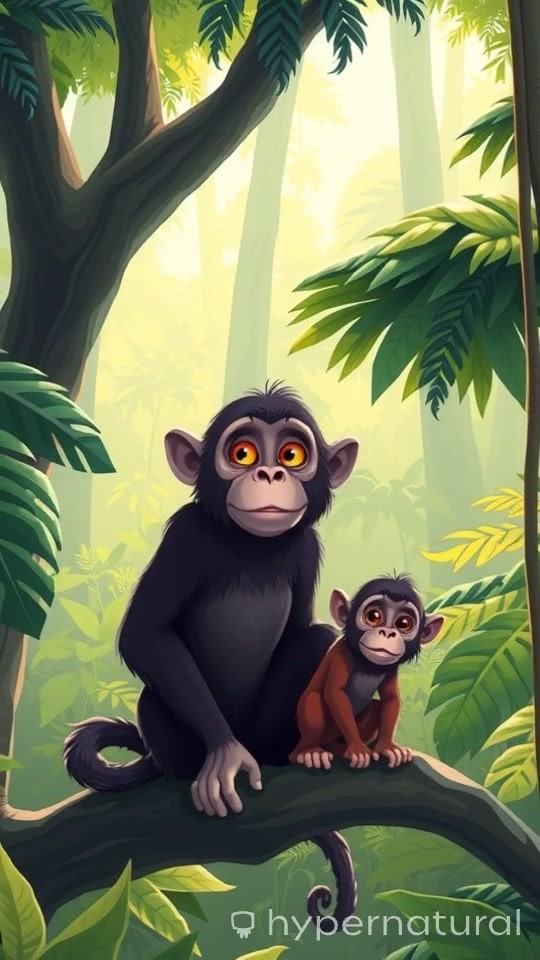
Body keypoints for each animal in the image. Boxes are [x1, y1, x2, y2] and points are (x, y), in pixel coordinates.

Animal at [63, 382, 360, 927]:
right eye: (242, 453)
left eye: (292, 454)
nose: (270, 474)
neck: (251, 546)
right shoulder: (185, 535)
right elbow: (144, 634)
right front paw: (225, 757)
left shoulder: (306, 546)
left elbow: (304, 628)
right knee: (153, 701)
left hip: (264, 729)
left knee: (312, 640)